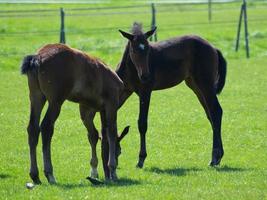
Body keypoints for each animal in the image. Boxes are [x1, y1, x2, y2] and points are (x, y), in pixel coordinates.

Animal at [20, 43, 129, 184]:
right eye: (119, 151)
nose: (117, 161)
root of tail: (37, 57)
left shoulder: (88, 109)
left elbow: (94, 135)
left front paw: (96, 172)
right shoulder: (111, 103)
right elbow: (110, 132)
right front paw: (112, 170)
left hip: (36, 96)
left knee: (33, 128)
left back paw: (35, 175)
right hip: (56, 101)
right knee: (46, 127)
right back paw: (50, 174)